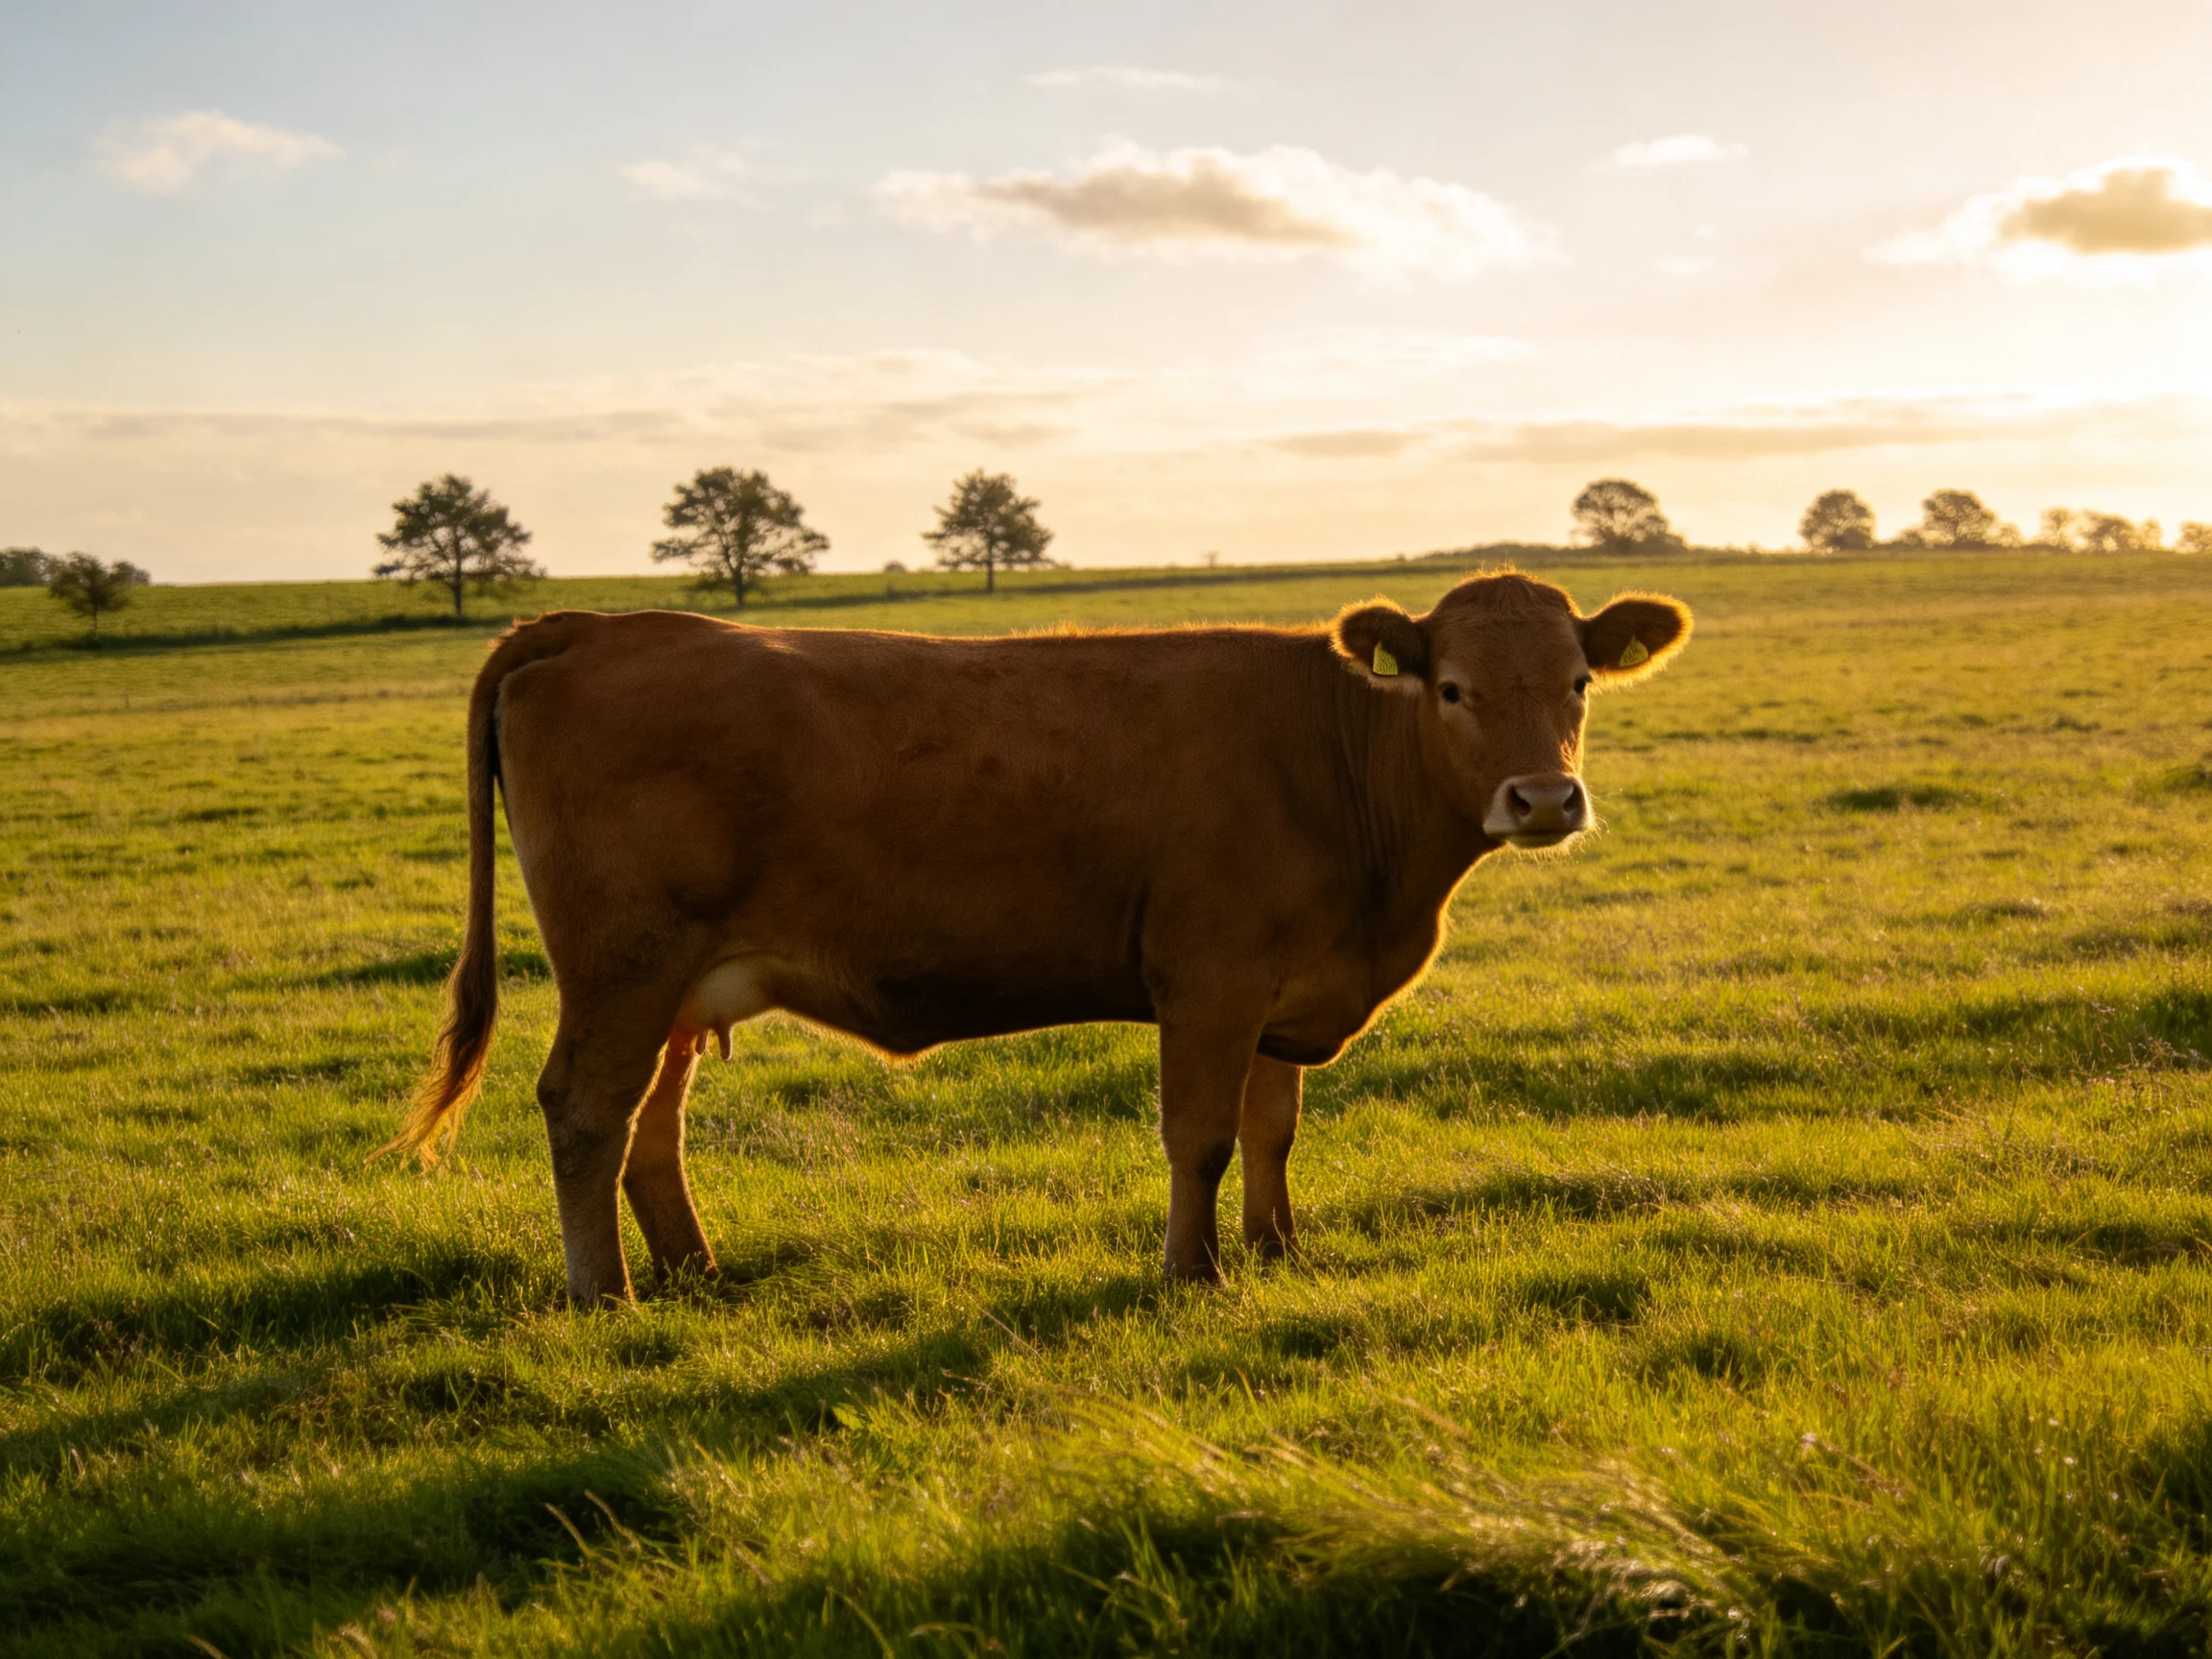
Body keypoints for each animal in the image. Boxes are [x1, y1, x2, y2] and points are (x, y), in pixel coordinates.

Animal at [388, 569, 1691, 1304]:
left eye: (1579, 684)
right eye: (1454, 688)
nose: (1544, 799)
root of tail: (591, 624)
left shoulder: (1284, 990)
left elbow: (1274, 1131)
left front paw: (1278, 1252)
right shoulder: (1211, 979)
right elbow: (1201, 1139)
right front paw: (1193, 1272)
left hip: (678, 985)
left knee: (651, 1130)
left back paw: (694, 1271)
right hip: (622, 967)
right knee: (585, 1113)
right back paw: (603, 1295)